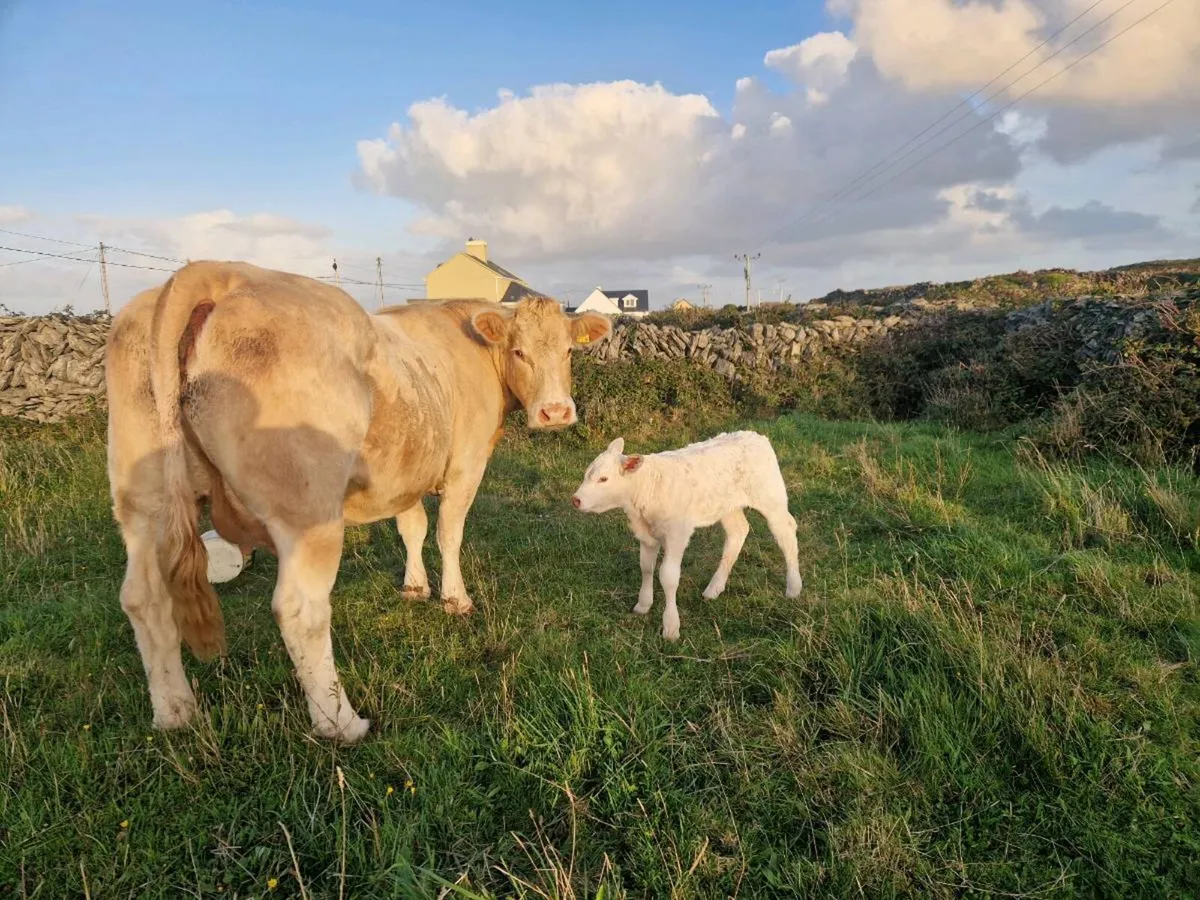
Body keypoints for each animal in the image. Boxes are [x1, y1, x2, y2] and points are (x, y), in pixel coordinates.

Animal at [105, 260, 611, 743]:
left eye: (568, 351)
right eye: (519, 351)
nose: (555, 413)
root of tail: (218, 272)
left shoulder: (406, 468)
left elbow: (412, 528)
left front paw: (414, 587)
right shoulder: (466, 464)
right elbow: (448, 533)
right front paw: (455, 598)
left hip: (143, 502)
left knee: (143, 598)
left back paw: (175, 712)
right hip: (308, 512)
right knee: (300, 610)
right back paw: (341, 723)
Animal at [570, 431, 803, 641]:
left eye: (603, 479)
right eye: (586, 474)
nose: (576, 500)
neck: (646, 488)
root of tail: (755, 436)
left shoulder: (676, 534)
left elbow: (668, 577)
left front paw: (671, 627)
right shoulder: (646, 535)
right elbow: (646, 567)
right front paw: (643, 605)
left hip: (770, 498)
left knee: (785, 532)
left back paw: (793, 587)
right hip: (727, 506)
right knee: (738, 532)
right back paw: (714, 588)